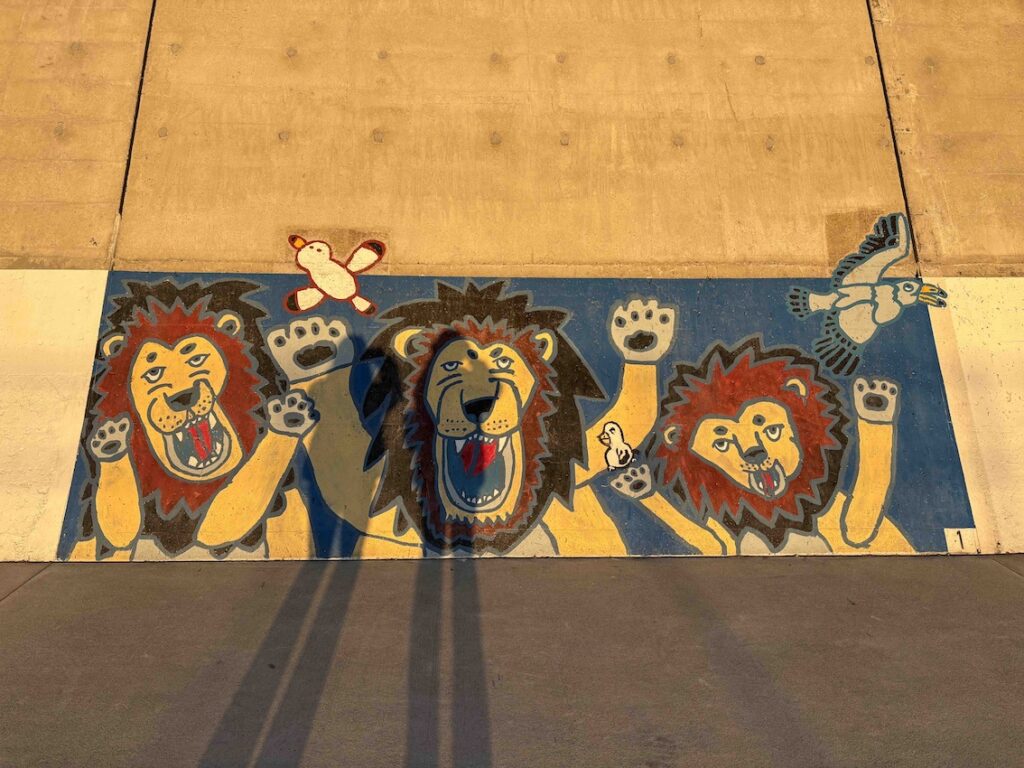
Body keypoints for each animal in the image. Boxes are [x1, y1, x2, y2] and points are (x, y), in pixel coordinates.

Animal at [63, 280, 319, 560]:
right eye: (154, 373)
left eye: (196, 359)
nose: (183, 397)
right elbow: (119, 528)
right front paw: (111, 443)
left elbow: (227, 515)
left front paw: (290, 417)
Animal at [265, 281, 677, 556]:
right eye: (450, 367)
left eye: (503, 362)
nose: (479, 404)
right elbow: (348, 478)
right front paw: (312, 353)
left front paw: (641, 333)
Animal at [609, 336, 913, 554]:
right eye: (722, 443)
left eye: (771, 430)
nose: (754, 454)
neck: (774, 515)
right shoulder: (723, 533)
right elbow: (711, 542)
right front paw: (638, 485)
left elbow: (856, 527)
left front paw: (876, 405)